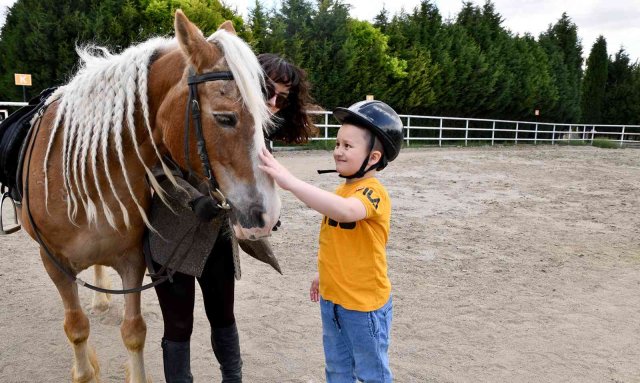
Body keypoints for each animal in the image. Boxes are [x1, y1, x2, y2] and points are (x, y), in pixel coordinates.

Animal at [17, 10, 280, 382]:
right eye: (225, 117)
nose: (268, 215)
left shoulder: (132, 259)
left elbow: (134, 331)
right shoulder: (53, 261)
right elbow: (76, 327)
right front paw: (84, 369)